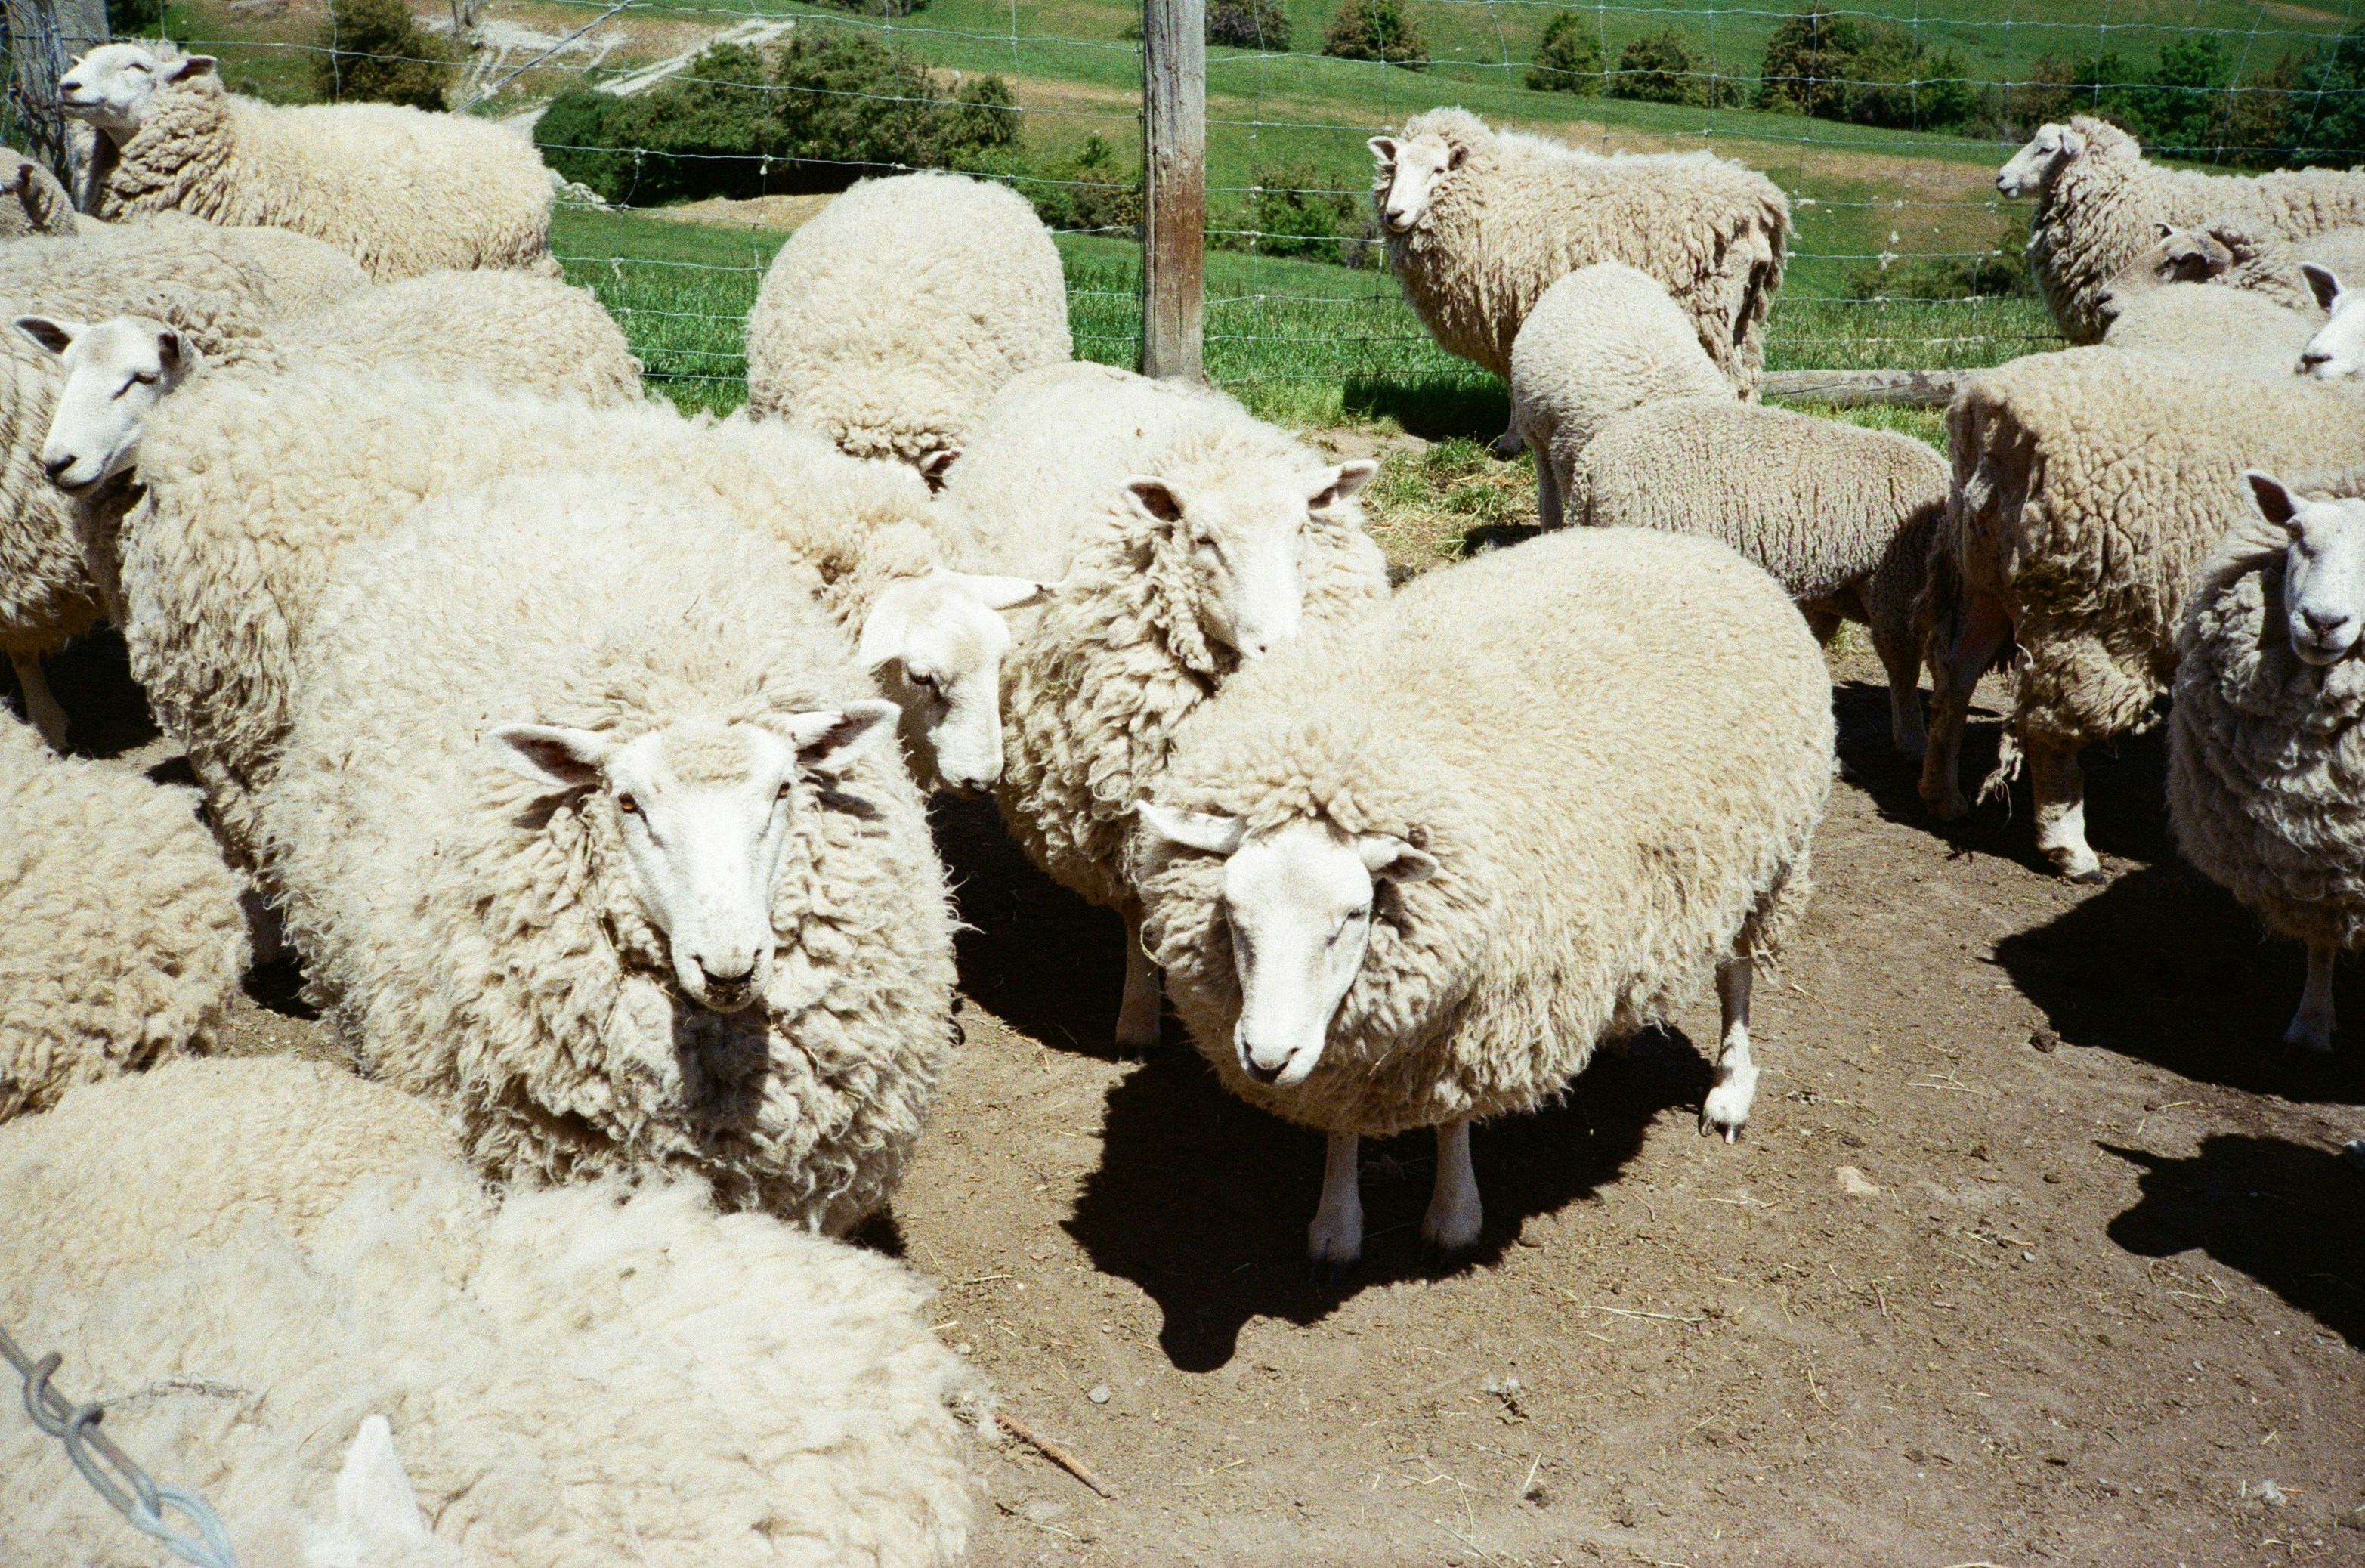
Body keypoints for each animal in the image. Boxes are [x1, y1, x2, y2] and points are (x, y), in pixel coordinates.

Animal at [936, 361, 1386, 1052]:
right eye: (1203, 539)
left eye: (1301, 530)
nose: (1277, 646)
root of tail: (1070, 363)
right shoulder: (1118, 802)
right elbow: (1137, 907)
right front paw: (1139, 1017)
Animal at [1129, 526, 1833, 1269]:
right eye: (1233, 915)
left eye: (1353, 915)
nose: (1267, 1058)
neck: (1343, 739)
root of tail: (1686, 541)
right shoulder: (1352, 1055)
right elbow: (1341, 1125)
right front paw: (1336, 1222)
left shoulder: (1484, 1008)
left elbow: (1455, 1120)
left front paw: (1454, 1213)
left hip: (1771, 861)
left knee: (1738, 976)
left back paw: (1730, 1089)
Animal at [1370, 106, 1789, 426]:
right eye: (1396, 165)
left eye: (1439, 170)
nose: (1394, 214)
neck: (1491, 191)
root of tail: (1763, 203)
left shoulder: (1509, 309)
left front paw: (1511, 439)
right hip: (1745, 316)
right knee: (1749, 379)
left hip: (1709, 311)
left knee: (1732, 380)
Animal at [1920, 347, 2365, 880]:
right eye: (2296, 534)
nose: (2323, 623)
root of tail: (1988, 408)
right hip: (2085, 606)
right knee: (2052, 727)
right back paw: (2069, 847)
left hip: (1983, 577)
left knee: (1954, 675)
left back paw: (1942, 796)